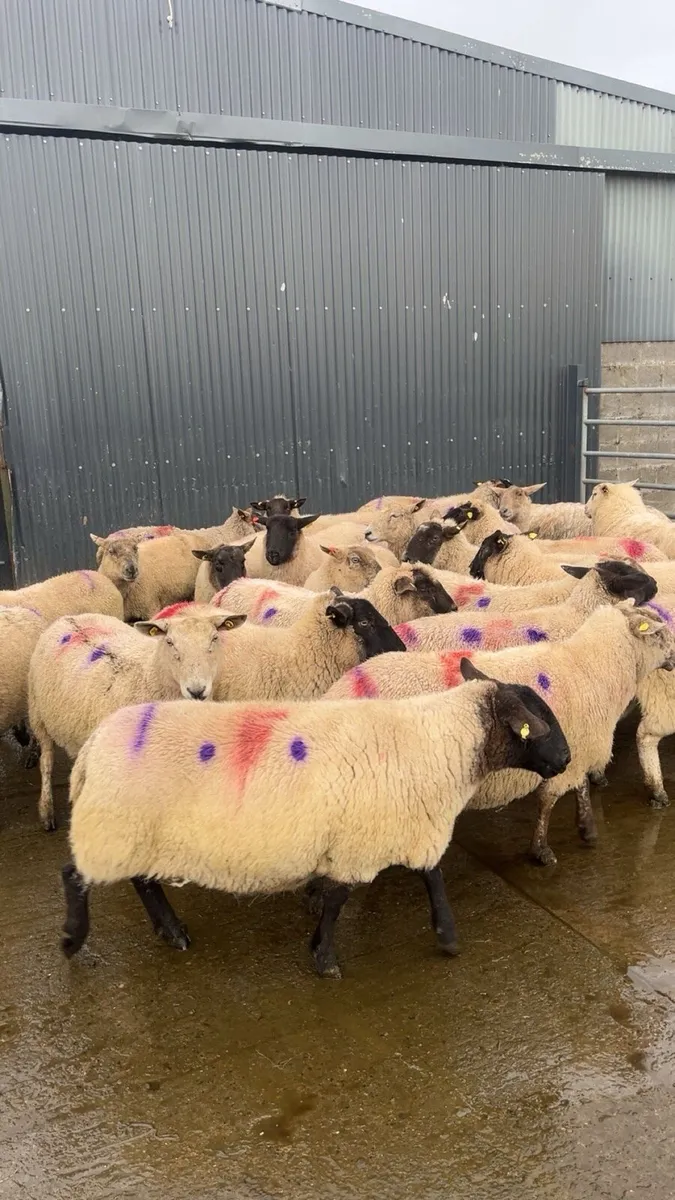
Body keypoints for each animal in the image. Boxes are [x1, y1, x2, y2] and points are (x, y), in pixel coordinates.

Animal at [28, 606, 246, 832]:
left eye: (214, 638)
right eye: (170, 642)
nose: (197, 690)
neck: (149, 676)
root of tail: (70, 617)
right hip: (38, 713)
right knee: (46, 761)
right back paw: (47, 811)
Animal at [60, 671, 569, 971]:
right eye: (537, 720)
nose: (565, 760)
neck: (442, 740)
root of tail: (92, 748)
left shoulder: (390, 829)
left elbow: (422, 877)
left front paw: (444, 935)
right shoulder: (366, 841)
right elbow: (348, 897)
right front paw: (326, 958)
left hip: (133, 832)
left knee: (142, 882)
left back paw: (172, 932)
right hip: (113, 827)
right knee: (75, 875)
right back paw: (72, 939)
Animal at [325, 604, 675, 865]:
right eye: (659, 634)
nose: (674, 658)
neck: (594, 665)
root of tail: (340, 690)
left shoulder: (574, 749)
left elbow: (581, 787)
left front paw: (586, 828)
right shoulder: (568, 751)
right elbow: (550, 800)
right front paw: (542, 850)